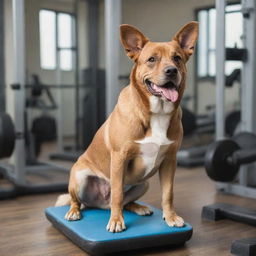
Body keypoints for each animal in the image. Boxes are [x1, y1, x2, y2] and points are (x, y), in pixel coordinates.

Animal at [56, 21, 199, 232]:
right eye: (151, 59)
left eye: (177, 58)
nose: (172, 70)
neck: (156, 112)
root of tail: (101, 204)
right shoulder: (119, 158)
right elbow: (117, 194)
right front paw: (116, 221)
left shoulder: (170, 161)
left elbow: (168, 194)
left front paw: (170, 216)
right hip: (79, 177)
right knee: (81, 201)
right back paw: (75, 211)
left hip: (144, 184)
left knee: (126, 201)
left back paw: (139, 207)